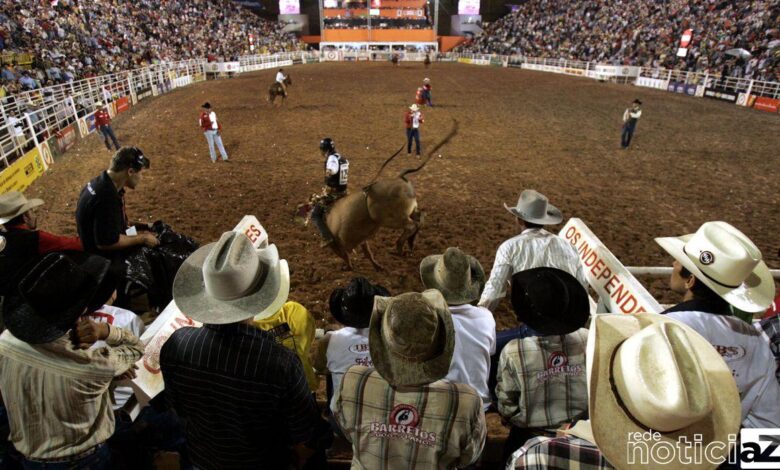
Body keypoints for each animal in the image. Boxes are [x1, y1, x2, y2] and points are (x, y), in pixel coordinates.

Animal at [308, 121, 460, 270]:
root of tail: (399, 177)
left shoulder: (338, 244)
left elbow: (346, 255)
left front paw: (349, 266)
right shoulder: (361, 237)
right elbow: (367, 252)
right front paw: (377, 267)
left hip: (392, 219)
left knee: (411, 225)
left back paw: (399, 247)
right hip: (410, 210)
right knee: (420, 218)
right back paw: (409, 244)